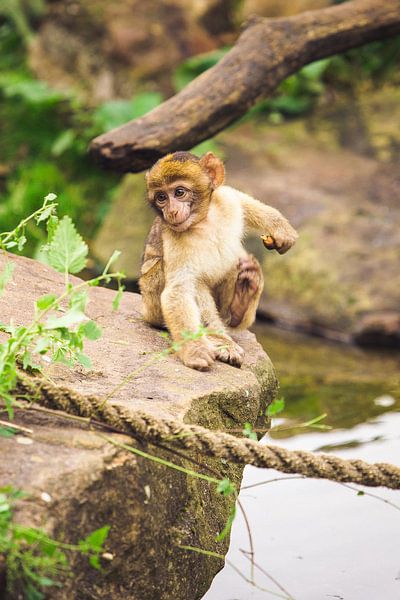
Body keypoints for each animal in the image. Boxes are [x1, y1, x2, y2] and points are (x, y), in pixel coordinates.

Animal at [139, 151, 298, 370]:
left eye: (179, 192)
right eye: (161, 197)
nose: (170, 212)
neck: (203, 222)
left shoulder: (225, 199)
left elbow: (243, 202)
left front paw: (280, 227)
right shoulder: (172, 235)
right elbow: (178, 291)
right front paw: (195, 350)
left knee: (237, 262)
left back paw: (242, 301)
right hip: (150, 302)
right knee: (194, 282)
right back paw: (220, 338)